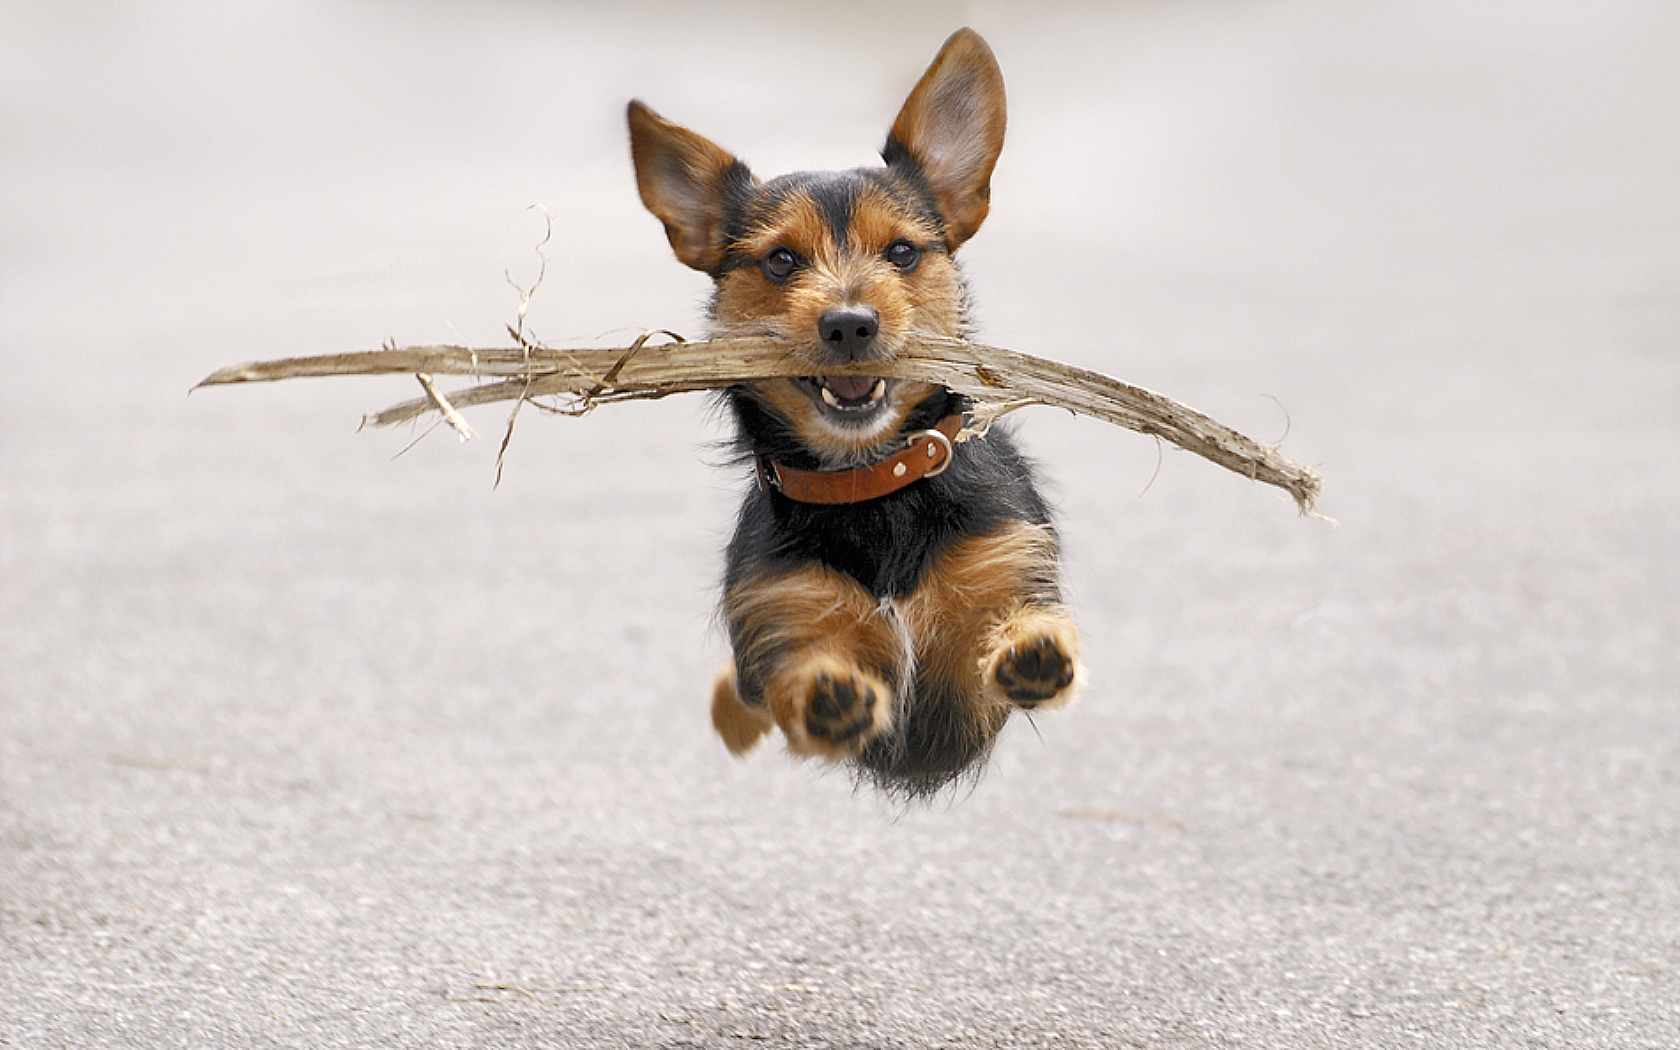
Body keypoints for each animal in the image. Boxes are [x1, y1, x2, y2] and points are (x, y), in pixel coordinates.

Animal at [628, 26, 1075, 792]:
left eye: (902, 251)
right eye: (780, 261)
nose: (849, 324)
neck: (873, 486)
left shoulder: (980, 629)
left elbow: (998, 635)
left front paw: (1031, 646)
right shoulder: (783, 611)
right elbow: (801, 675)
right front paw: (826, 691)